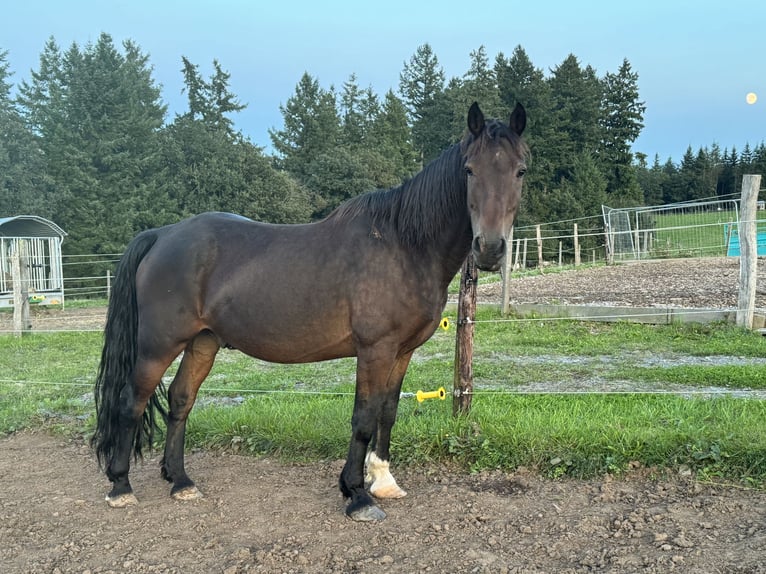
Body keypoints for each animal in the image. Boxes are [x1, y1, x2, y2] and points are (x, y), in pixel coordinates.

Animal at [93, 101, 528, 524]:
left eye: (520, 170)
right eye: (469, 170)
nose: (489, 248)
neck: (404, 245)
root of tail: (162, 235)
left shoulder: (402, 351)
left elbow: (388, 411)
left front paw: (384, 481)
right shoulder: (375, 349)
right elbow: (364, 417)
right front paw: (356, 495)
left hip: (203, 342)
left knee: (181, 400)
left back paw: (181, 481)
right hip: (158, 344)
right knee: (131, 402)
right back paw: (120, 486)